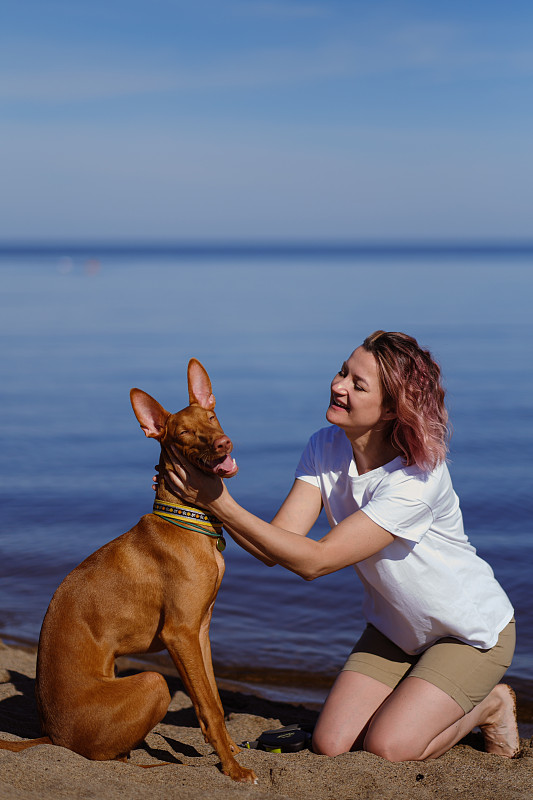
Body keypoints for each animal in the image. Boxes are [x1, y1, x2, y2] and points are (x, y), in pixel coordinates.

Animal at [0, 360, 258, 784]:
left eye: (211, 417)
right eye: (184, 433)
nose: (224, 444)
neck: (187, 520)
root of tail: (52, 736)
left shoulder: (201, 630)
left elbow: (216, 700)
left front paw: (232, 751)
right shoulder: (179, 633)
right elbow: (207, 706)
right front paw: (233, 768)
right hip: (153, 683)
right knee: (106, 754)